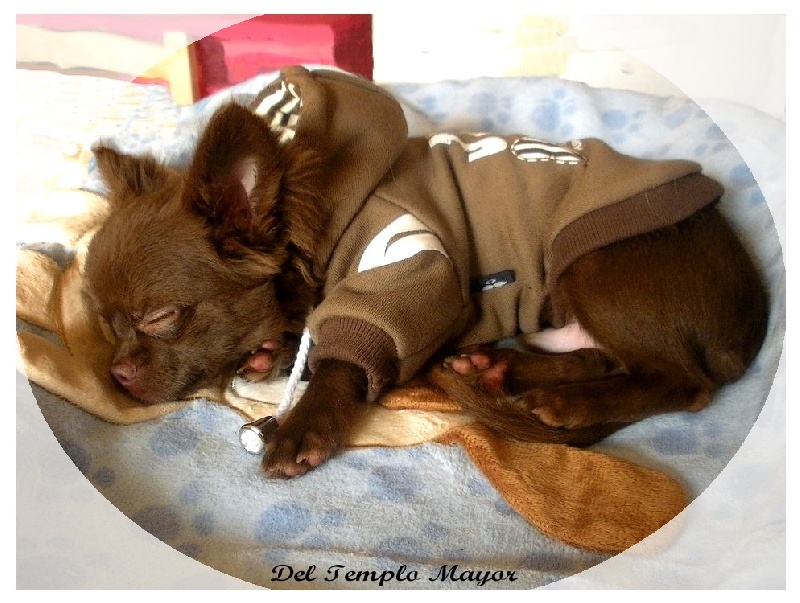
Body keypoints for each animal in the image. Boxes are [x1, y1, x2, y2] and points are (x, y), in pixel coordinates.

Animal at [83, 67, 768, 478]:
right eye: (108, 324)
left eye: (160, 317)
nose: (115, 374)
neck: (315, 201)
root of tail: (752, 320)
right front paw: (268, 352)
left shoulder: (411, 264)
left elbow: (349, 351)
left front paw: (303, 424)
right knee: (607, 355)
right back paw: (501, 367)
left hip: (594, 263)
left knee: (682, 381)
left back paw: (564, 403)